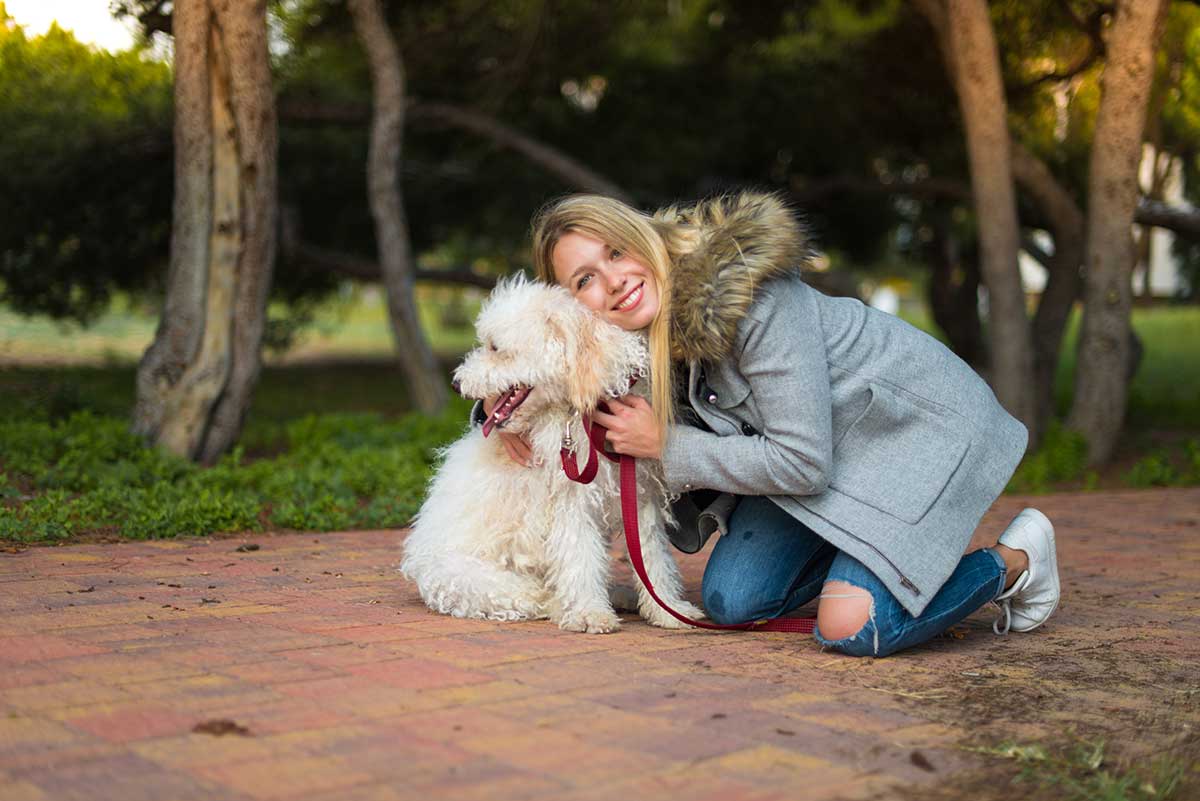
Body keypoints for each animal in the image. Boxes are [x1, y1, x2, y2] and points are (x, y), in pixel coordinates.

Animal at [403, 275, 700, 633]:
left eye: (495, 348)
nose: (456, 384)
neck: (581, 412)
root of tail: (419, 565)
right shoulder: (572, 501)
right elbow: (580, 558)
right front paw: (588, 613)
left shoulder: (640, 493)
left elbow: (652, 555)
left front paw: (669, 609)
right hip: (478, 580)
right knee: (534, 597)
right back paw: (570, 604)